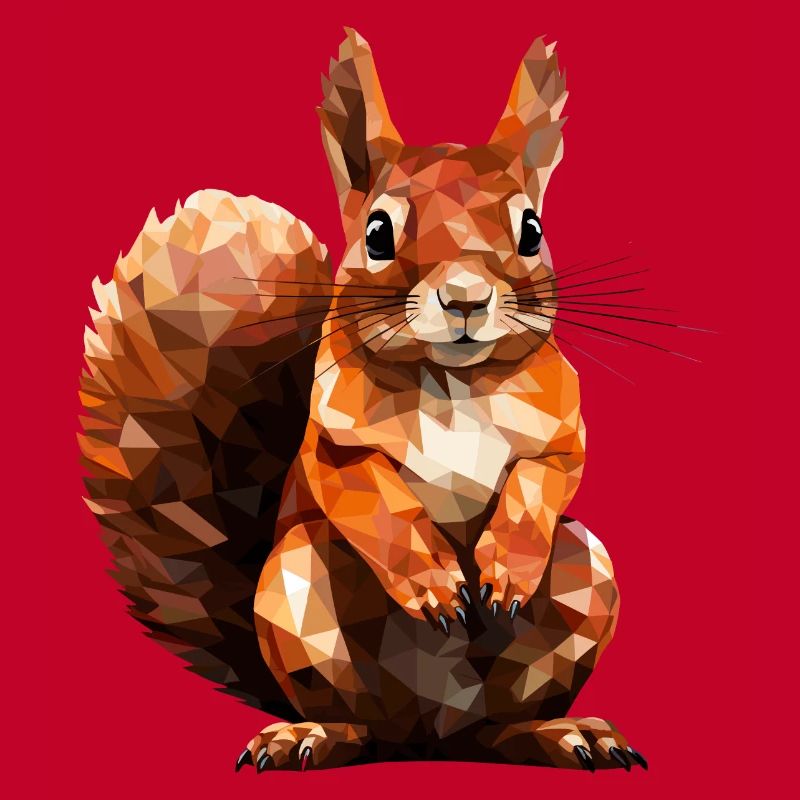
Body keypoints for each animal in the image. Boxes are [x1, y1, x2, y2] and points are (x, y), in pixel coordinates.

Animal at [79, 29, 647, 773]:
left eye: (532, 230)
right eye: (377, 234)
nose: (465, 298)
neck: (453, 383)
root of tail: (432, 735)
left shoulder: (561, 429)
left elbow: (544, 479)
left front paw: (504, 568)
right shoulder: (332, 440)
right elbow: (372, 495)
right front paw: (434, 581)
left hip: (587, 576)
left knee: (499, 728)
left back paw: (563, 732)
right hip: (295, 591)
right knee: (358, 724)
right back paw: (309, 735)